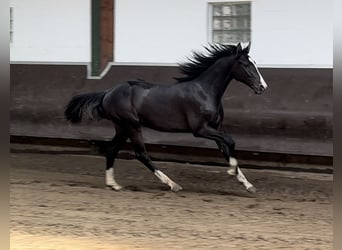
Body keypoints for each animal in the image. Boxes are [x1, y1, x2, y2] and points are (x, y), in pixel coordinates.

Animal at [64, 42, 268, 192]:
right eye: (246, 64)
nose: (263, 87)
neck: (205, 91)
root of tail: (107, 93)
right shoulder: (200, 129)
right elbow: (230, 141)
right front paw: (231, 170)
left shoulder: (216, 127)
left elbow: (227, 147)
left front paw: (248, 184)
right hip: (131, 125)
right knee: (141, 154)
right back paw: (173, 184)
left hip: (121, 127)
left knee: (111, 149)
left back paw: (113, 184)